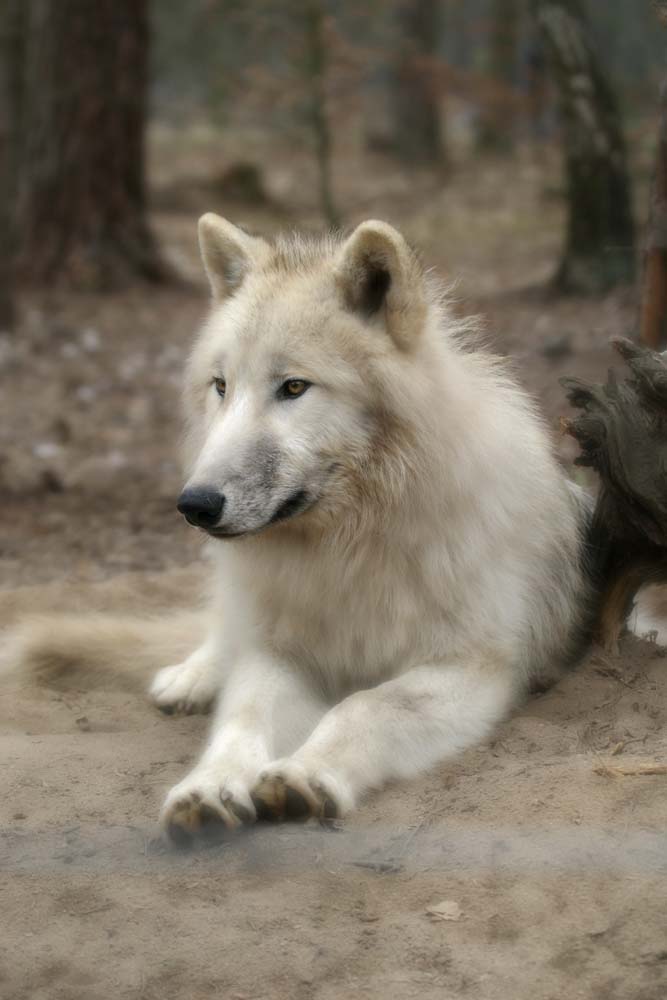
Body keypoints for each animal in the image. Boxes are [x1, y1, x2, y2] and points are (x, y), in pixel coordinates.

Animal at [11, 219, 600, 844]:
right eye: (221, 386)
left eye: (293, 388)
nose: (194, 504)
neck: (349, 550)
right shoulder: (280, 652)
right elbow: (244, 716)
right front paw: (209, 786)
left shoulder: (472, 669)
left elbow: (365, 706)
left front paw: (305, 776)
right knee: (223, 630)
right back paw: (191, 678)